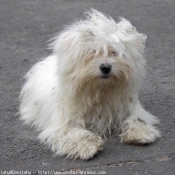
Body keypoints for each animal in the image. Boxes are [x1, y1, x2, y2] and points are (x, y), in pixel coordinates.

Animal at [19, 9, 161, 160]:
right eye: (91, 52)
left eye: (114, 52)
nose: (106, 67)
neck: (99, 91)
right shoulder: (65, 122)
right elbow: (74, 132)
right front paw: (87, 146)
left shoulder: (127, 108)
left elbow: (135, 119)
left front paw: (141, 132)